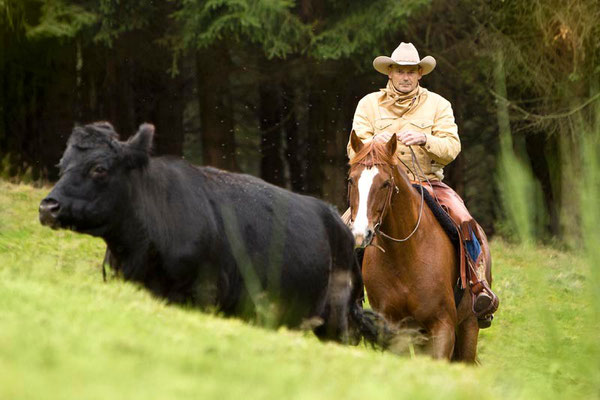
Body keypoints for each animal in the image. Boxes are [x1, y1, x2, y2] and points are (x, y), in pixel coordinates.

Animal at [41, 122, 390, 344]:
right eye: (62, 164)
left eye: (99, 168)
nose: (48, 206)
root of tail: (339, 225)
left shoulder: (202, 296)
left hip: (335, 320)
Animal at [346, 131, 478, 362]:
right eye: (351, 180)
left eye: (385, 183)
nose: (362, 234)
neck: (404, 256)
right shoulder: (393, 330)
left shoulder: (443, 326)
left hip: (469, 327)